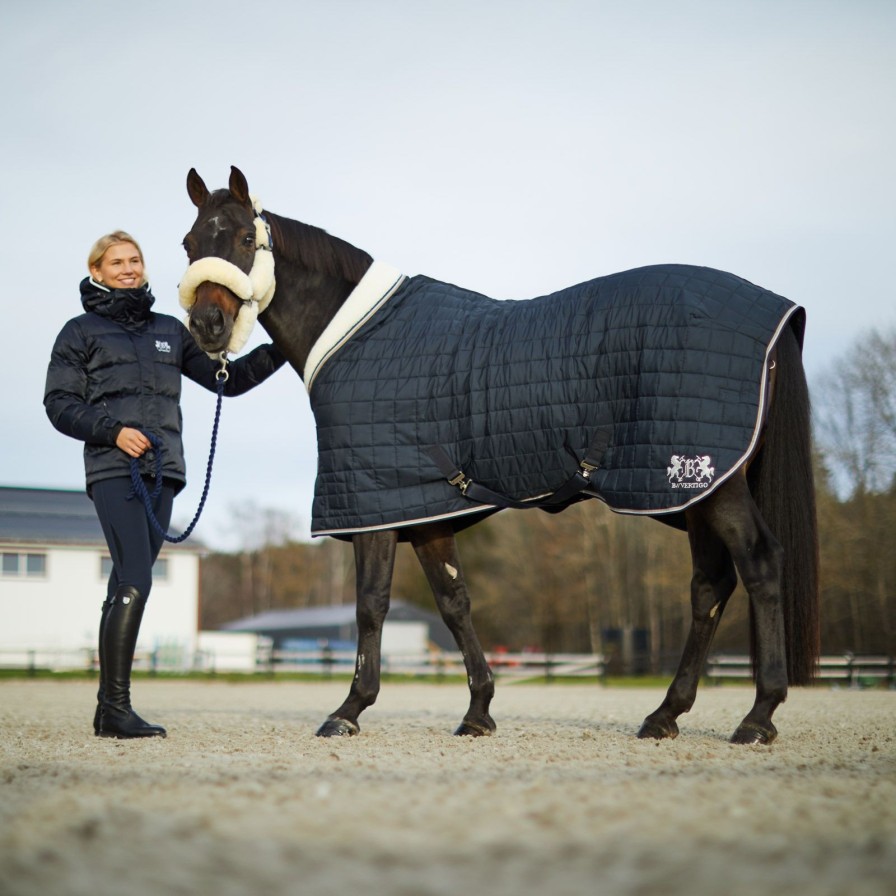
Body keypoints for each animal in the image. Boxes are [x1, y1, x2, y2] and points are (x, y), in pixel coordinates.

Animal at [180, 164, 820, 744]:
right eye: (189, 243)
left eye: (245, 239)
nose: (208, 324)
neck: (358, 336)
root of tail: (778, 311)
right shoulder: (423, 508)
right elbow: (454, 603)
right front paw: (478, 711)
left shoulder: (374, 508)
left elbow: (370, 605)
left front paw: (349, 710)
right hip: (688, 493)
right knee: (709, 586)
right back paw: (665, 715)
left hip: (709, 482)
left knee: (759, 564)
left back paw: (758, 716)